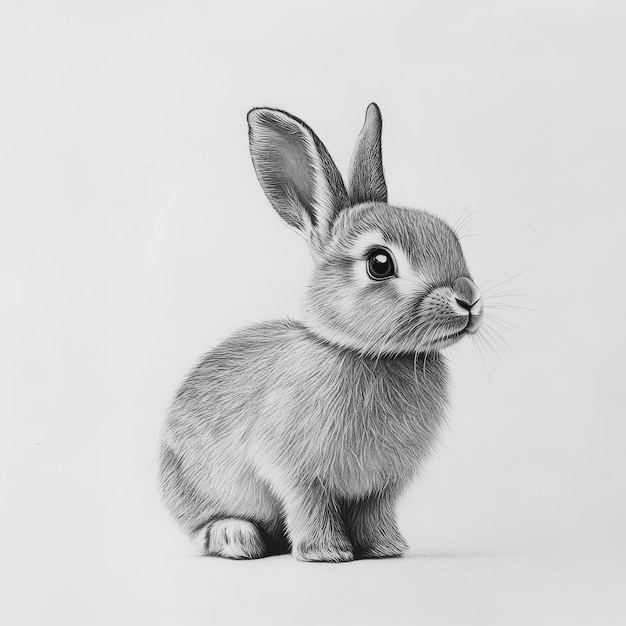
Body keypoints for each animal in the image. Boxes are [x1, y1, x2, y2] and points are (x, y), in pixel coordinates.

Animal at [158, 103, 480, 560]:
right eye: (380, 263)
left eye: (451, 238)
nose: (468, 299)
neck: (368, 353)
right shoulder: (295, 473)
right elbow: (310, 505)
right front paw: (327, 553)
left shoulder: (383, 486)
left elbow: (374, 512)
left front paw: (386, 548)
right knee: (206, 526)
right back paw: (237, 538)